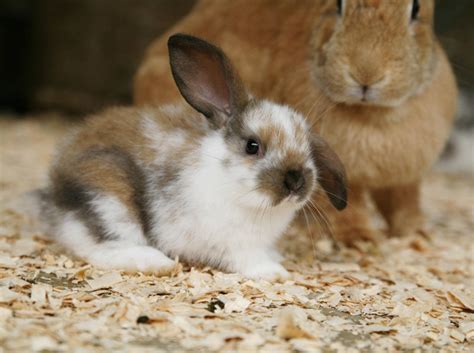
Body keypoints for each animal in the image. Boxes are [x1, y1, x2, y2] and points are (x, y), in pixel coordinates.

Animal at [39, 34, 346, 280]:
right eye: (252, 146)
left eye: (308, 150)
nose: (296, 181)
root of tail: (53, 185)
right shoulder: (228, 243)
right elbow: (245, 258)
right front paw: (274, 272)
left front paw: (276, 260)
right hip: (109, 197)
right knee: (98, 249)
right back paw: (157, 263)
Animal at [134, 0, 460, 242]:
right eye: (338, 5)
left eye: (416, 8)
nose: (366, 74)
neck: (376, 114)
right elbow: (349, 208)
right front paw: (359, 239)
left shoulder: (404, 179)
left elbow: (404, 204)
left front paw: (418, 236)